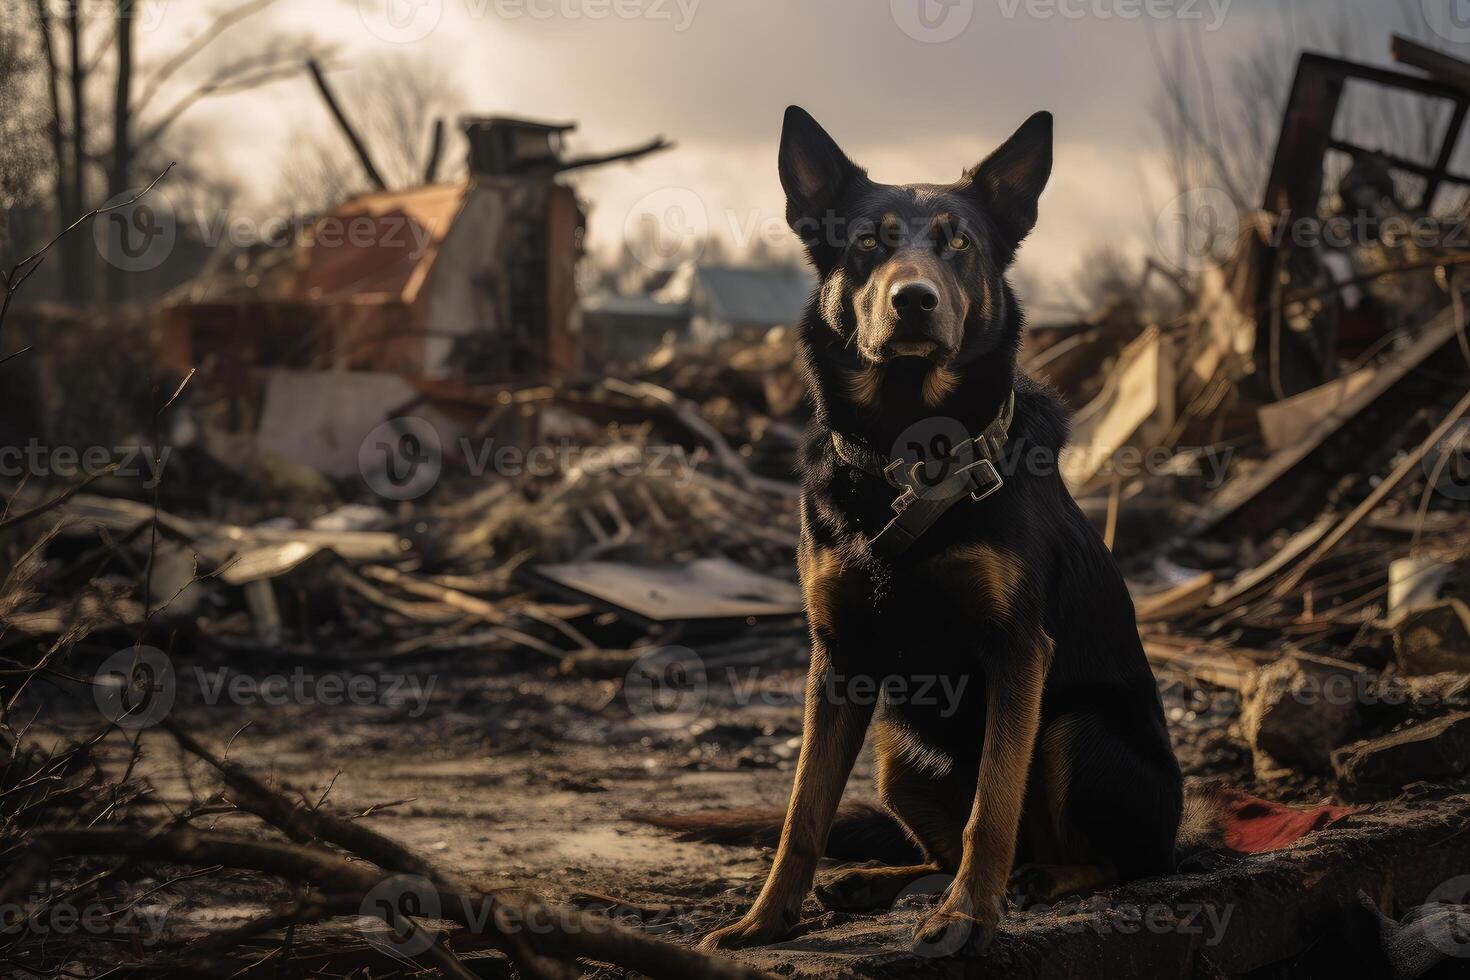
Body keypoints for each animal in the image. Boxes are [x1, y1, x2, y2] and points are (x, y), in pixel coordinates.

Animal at [693, 109, 1187, 957]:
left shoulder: (1017, 649)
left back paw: (1035, 880)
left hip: (1077, 732)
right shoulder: (837, 658)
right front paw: (764, 919)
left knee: (1101, 856)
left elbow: (993, 806)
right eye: (868, 241)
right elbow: (802, 812)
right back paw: (874, 882)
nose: (915, 300)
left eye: (959, 244)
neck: (908, 449)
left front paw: (966, 917)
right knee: (940, 842)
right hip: (899, 754)